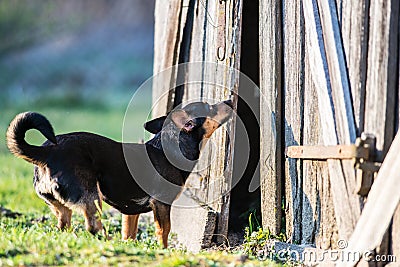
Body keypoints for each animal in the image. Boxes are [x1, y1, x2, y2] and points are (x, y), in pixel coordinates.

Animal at [6, 100, 233, 249]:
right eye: (210, 107)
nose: (229, 99)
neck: (169, 147)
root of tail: (46, 151)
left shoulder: (130, 212)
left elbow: (129, 234)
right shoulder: (161, 205)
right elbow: (164, 231)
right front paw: (163, 252)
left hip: (60, 206)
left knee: (64, 226)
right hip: (91, 197)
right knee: (93, 227)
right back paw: (106, 243)